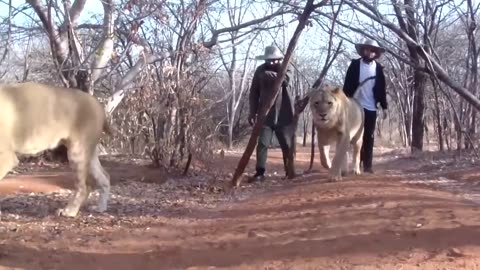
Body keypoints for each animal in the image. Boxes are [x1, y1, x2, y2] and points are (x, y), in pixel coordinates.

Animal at [0, 81, 111, 217]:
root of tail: (98, 104)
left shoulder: (6, 157)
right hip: (88, 153)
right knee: (105, 177)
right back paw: (100, 208)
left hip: (77, 152)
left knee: (84, 187)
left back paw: (69, 212)